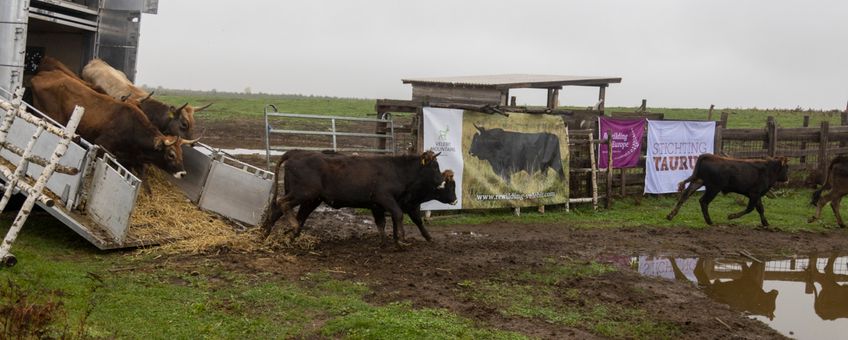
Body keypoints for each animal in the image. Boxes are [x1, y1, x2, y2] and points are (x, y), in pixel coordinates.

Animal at [29, 68, 194, 178]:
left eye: (181, 153)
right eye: (171, 154)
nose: (183, 173)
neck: (133, 128)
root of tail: (40, 76)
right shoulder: (102, 145)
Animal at [264, 150, 450, 246]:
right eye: (434, 166)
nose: (441, 181)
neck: (397, 170)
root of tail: (296, 154)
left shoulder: (377, 205)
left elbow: (382, 222)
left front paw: (388, 241)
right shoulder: (384, 198)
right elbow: (397, 214)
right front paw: (401, 240)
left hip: (310, 199)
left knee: (280, 211)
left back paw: (266, 234)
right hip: (303, 193)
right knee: (282, 203)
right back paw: (290, 228)